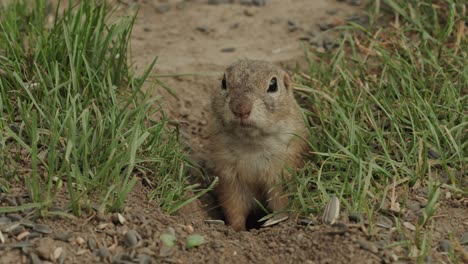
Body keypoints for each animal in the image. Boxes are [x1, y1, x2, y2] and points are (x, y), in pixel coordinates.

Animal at [207, 59, 308, 231]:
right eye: (224, 82)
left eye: (273, 85)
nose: (240, 108)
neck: (252, 143)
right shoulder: (229, 177)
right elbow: (234, 206)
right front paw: (237, 229)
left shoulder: (282, 174)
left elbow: (281, 203)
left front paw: (279, 222)